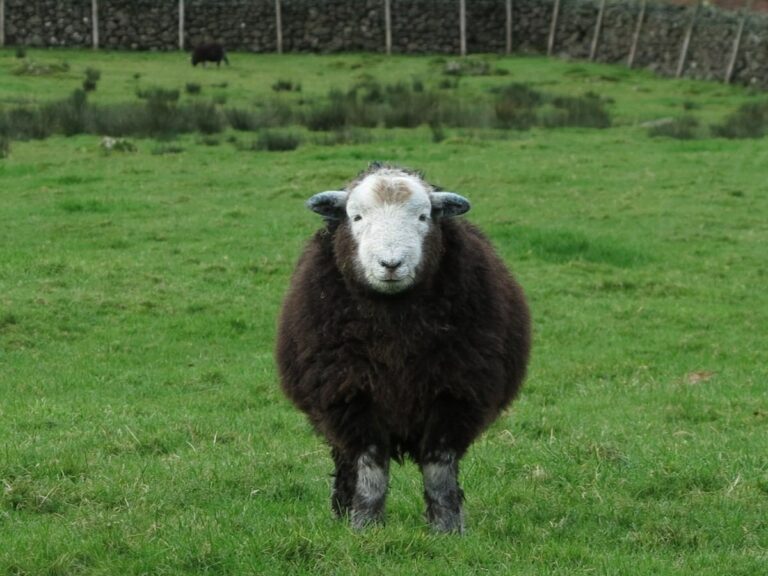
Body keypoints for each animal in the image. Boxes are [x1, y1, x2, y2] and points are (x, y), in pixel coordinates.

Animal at [275, 162, 531, 533]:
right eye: (356, 216)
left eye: (423, 217)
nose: (391, 264)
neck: (394, 330)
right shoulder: (350, 395)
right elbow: (370, 467)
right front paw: (365, 527)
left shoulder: (454, 395)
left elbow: (438, 469)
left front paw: (447, 528)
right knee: (345, 462)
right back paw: (342, 510)